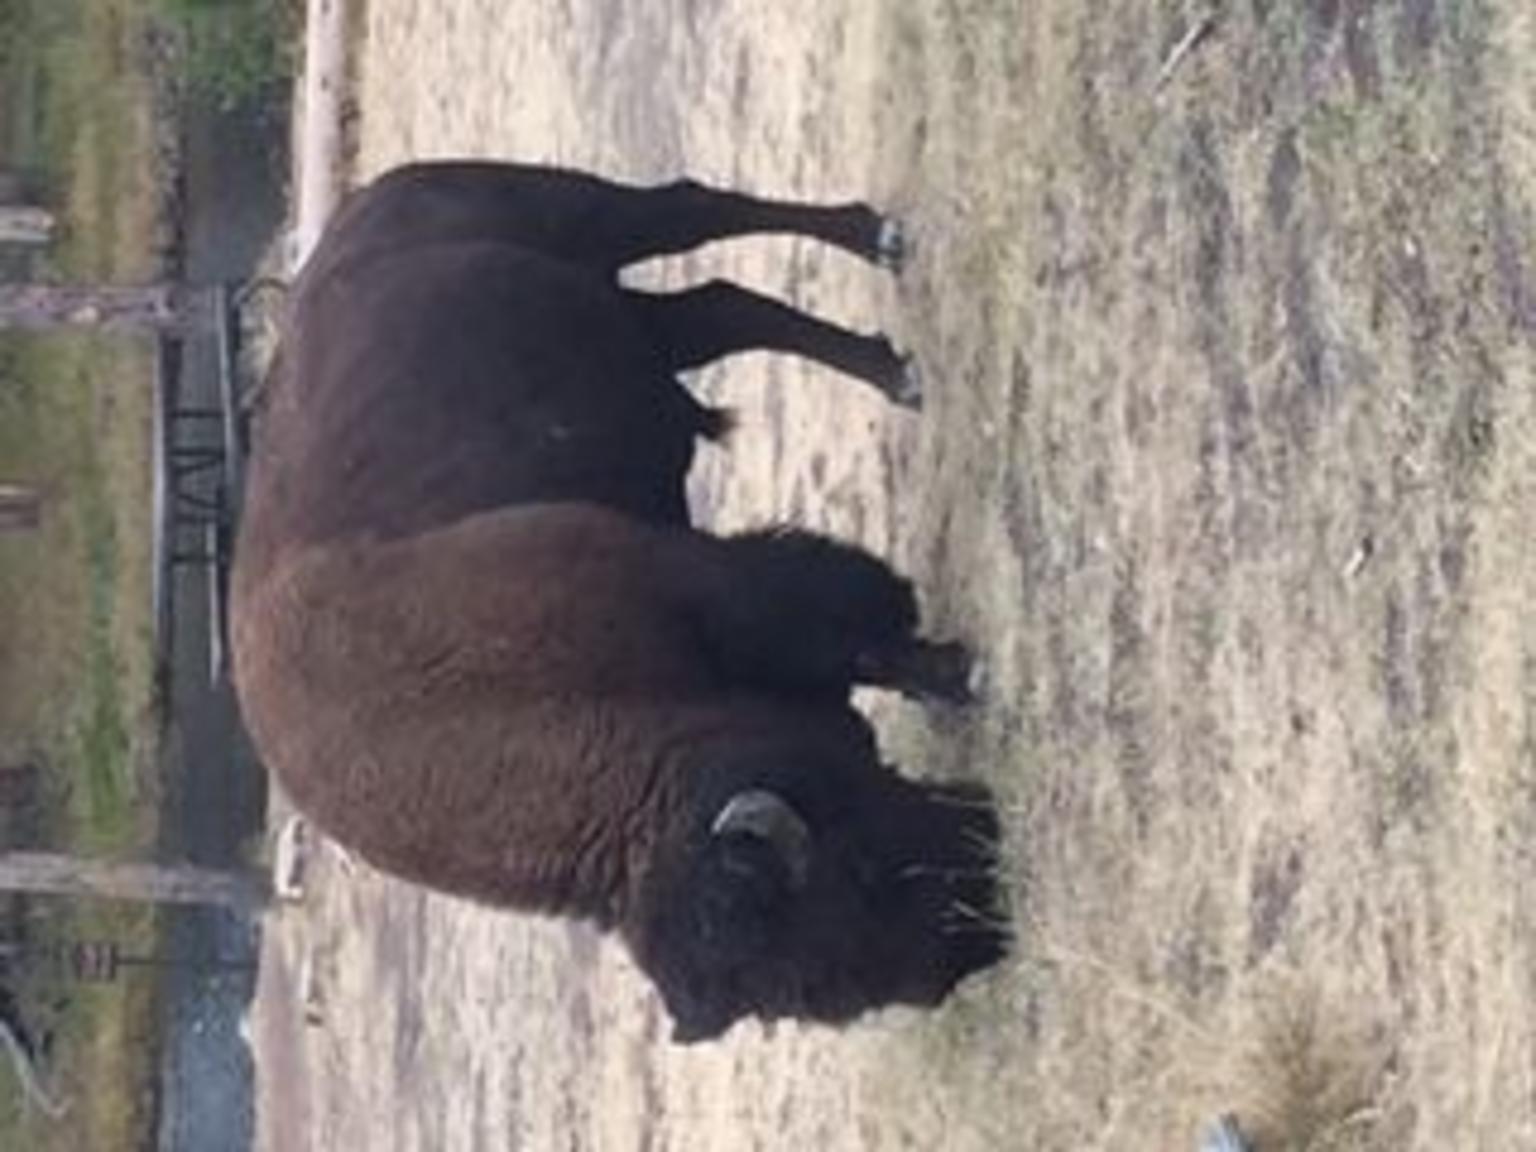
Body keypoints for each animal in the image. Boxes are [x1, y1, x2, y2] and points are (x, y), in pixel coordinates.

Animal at [232, 161, 1006, 1042]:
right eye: (827, 991)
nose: (980, 931)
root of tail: (363, 210)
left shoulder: (726, 589)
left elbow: (854, 623)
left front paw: (961, 673)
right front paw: (949, 677)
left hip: (594, 217)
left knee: (696, 211)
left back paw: (882, 260)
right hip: (633, 315)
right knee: (723, 306)